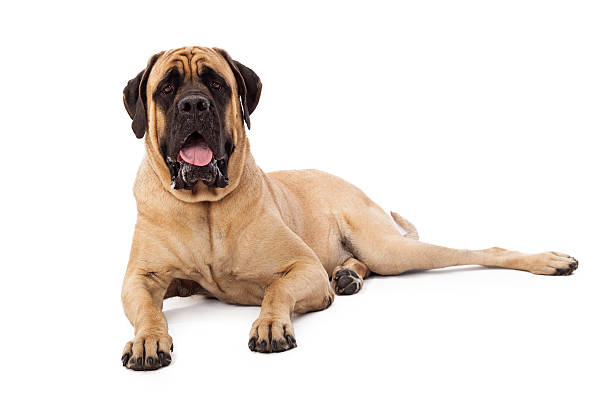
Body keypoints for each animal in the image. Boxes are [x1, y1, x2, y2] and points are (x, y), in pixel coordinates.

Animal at [119, 45, 580, 370]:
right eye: (166, 89)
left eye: (216, 84)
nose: (193, 104)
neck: (204, 207)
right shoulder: (142, 278)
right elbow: (146, 308)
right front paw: (147, 340)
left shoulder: (302, 267)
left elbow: (277, 289)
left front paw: (270, 323)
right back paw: (347, 275)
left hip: (390, 248)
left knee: (480, 251)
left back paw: (550, 260)